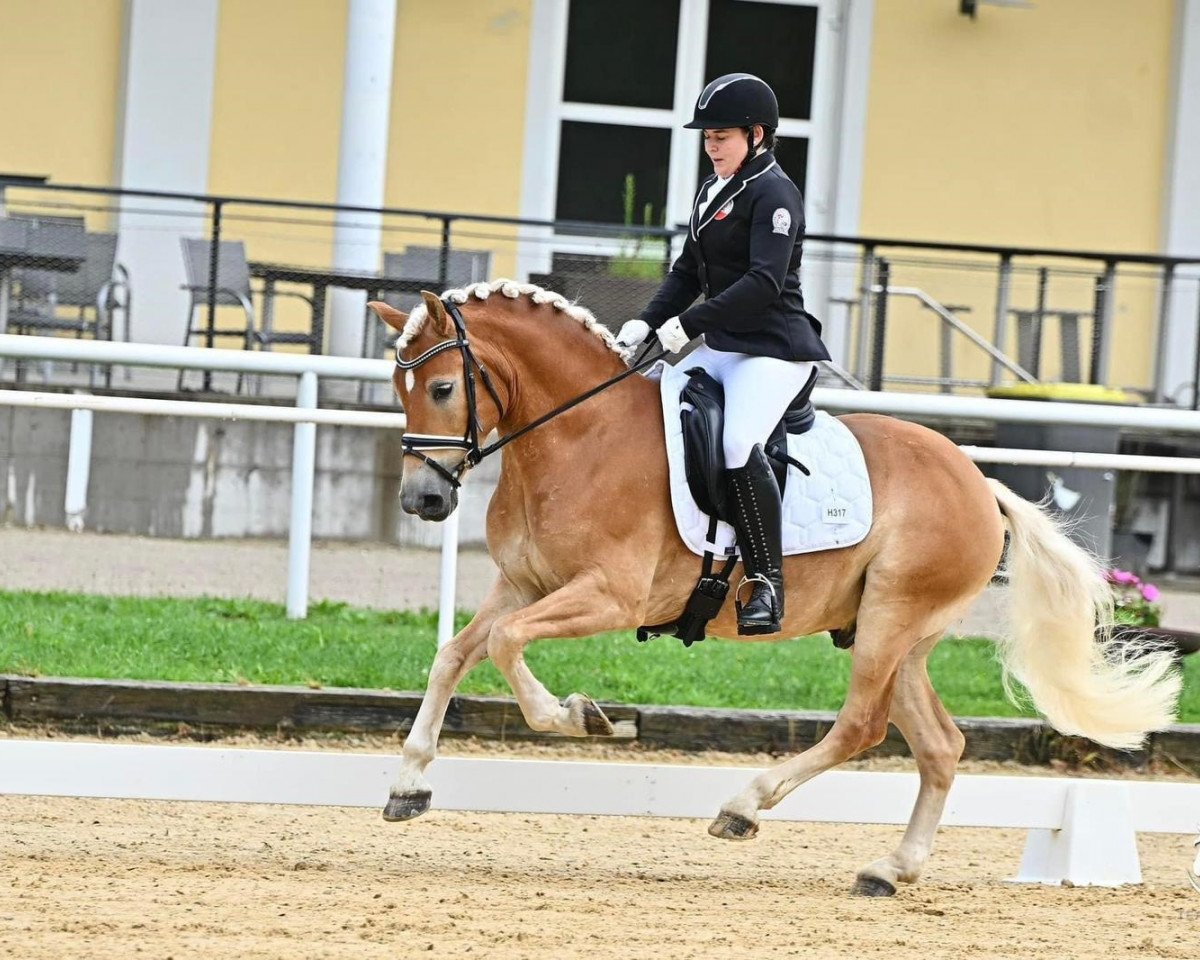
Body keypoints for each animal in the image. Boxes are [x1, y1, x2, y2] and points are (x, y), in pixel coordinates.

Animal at [369, 279, 1180, 896]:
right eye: (397, 389)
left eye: (442, 387)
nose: (422, 501)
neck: (576, 436)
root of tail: (981, 482)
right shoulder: (521, 584)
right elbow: (455, 653)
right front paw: (408, 783)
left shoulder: (608, 595)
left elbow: (506, 647)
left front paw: (579, 716)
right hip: (900, 637)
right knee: (941, 745)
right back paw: (890, 870)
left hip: (890, 620)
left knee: (861, 726)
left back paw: (744, 807)